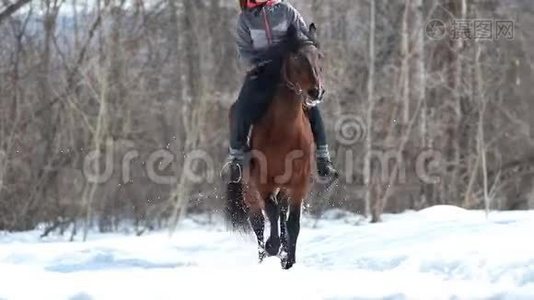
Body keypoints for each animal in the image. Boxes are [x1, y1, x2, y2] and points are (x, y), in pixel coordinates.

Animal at [227, 24, 326, 270]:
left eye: (319, 56)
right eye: (297, 57)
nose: (316, 92)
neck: (285, 132)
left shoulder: (299, 184)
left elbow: (293, 223)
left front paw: (288, 259)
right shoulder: (262, 182)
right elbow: (269, 213)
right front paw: (274, 248)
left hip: (284, 188)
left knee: (280, 214)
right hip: (249, 191)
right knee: (258, 222)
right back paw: (264, 255)